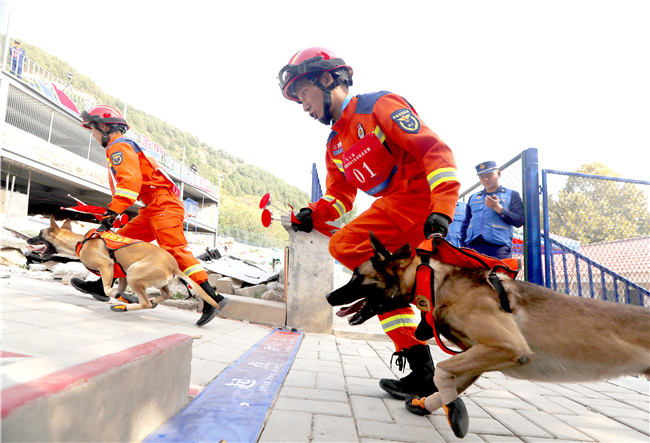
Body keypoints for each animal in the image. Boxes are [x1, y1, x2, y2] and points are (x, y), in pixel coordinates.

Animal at [27, 217, 220, 314]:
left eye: (40, 233)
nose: (28, 240)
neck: (80, 241)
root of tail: (174, 264)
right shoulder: (122, 277)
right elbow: (115, 288)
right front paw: (123, 297)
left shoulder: (107, 265)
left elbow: (108, 290)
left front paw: (121, 297)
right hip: (143, 278)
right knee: (166, 294)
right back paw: (147, 302)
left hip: (134, 273)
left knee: (145, 303)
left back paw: (128, 306)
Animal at [326, 232, 648, 440]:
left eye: (356, 275)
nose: (329, 296)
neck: (434, 282)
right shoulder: (479, 354)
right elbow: (445, 381)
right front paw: (428, 404)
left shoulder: (508, 347)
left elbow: (442, 371)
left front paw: (454, 411)